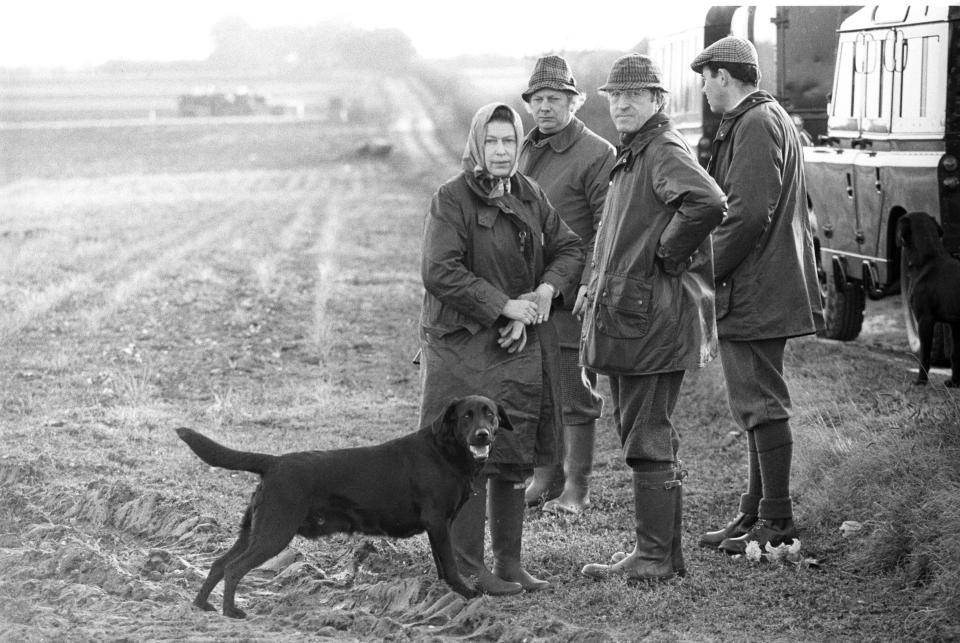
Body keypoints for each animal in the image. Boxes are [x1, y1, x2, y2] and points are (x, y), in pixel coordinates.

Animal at [177, 394, 512, 620]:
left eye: (490, 414)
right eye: (467, 416)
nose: (482, 434)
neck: (444, 451)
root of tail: (273, 462)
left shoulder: (438, 526)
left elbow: (442, 565)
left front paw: (442, 594)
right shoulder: (438, 522)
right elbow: (451, 565)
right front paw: (465, 594)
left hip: (253, 530)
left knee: (219, 564)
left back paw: (202, 605)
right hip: (274, 533)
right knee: (233, 568)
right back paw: (230, 611)